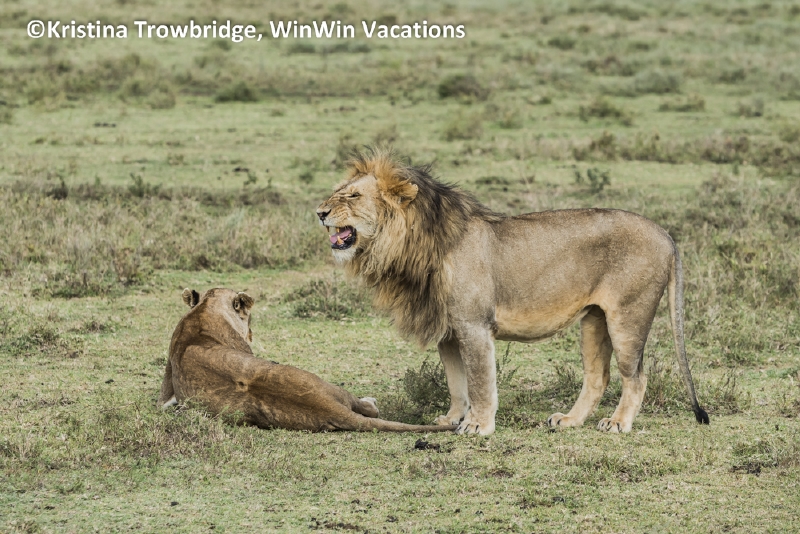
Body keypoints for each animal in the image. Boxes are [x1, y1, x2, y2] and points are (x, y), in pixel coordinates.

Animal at [158, 287, 456, 432]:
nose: (252, 332)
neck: (205, 308)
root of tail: (327, 407)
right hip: (332, 386)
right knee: (366, 409)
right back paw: (370, 402)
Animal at [316, 148, 710, 435]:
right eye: (336, 192)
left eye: (353, 195)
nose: (320, 212)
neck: (415, 243)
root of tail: (666, 234)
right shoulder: (450, 330)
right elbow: (456, 383)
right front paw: (452, 419)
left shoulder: (474, 325)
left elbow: (479, 381)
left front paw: (478, 426)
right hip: (594, 320)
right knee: (598, 377)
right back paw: (569, 420)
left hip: (628, 317)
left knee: (636, 377)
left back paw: (617, 423)